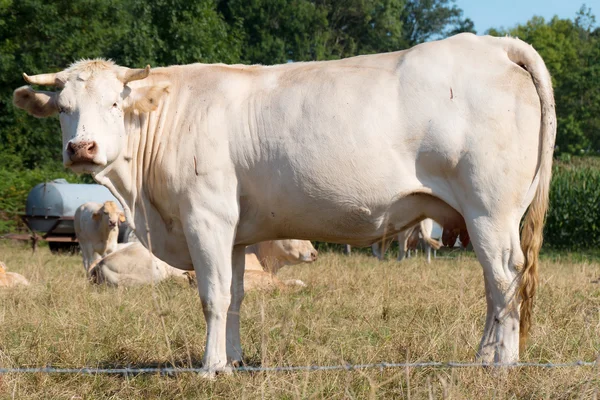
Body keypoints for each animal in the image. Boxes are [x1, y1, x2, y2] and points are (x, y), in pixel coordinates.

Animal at [12, 32, 556, 374]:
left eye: (114, 104)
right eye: (63, 109)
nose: (81, 148)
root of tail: (493, 44)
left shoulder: (205, 217)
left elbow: (212, 296)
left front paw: (208, 368)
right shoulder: (233, 231)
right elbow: (234, 297)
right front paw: (232, 362)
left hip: (489, 210)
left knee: (505, 279)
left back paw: (502, 364)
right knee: (495, 286)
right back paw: (483, 357)